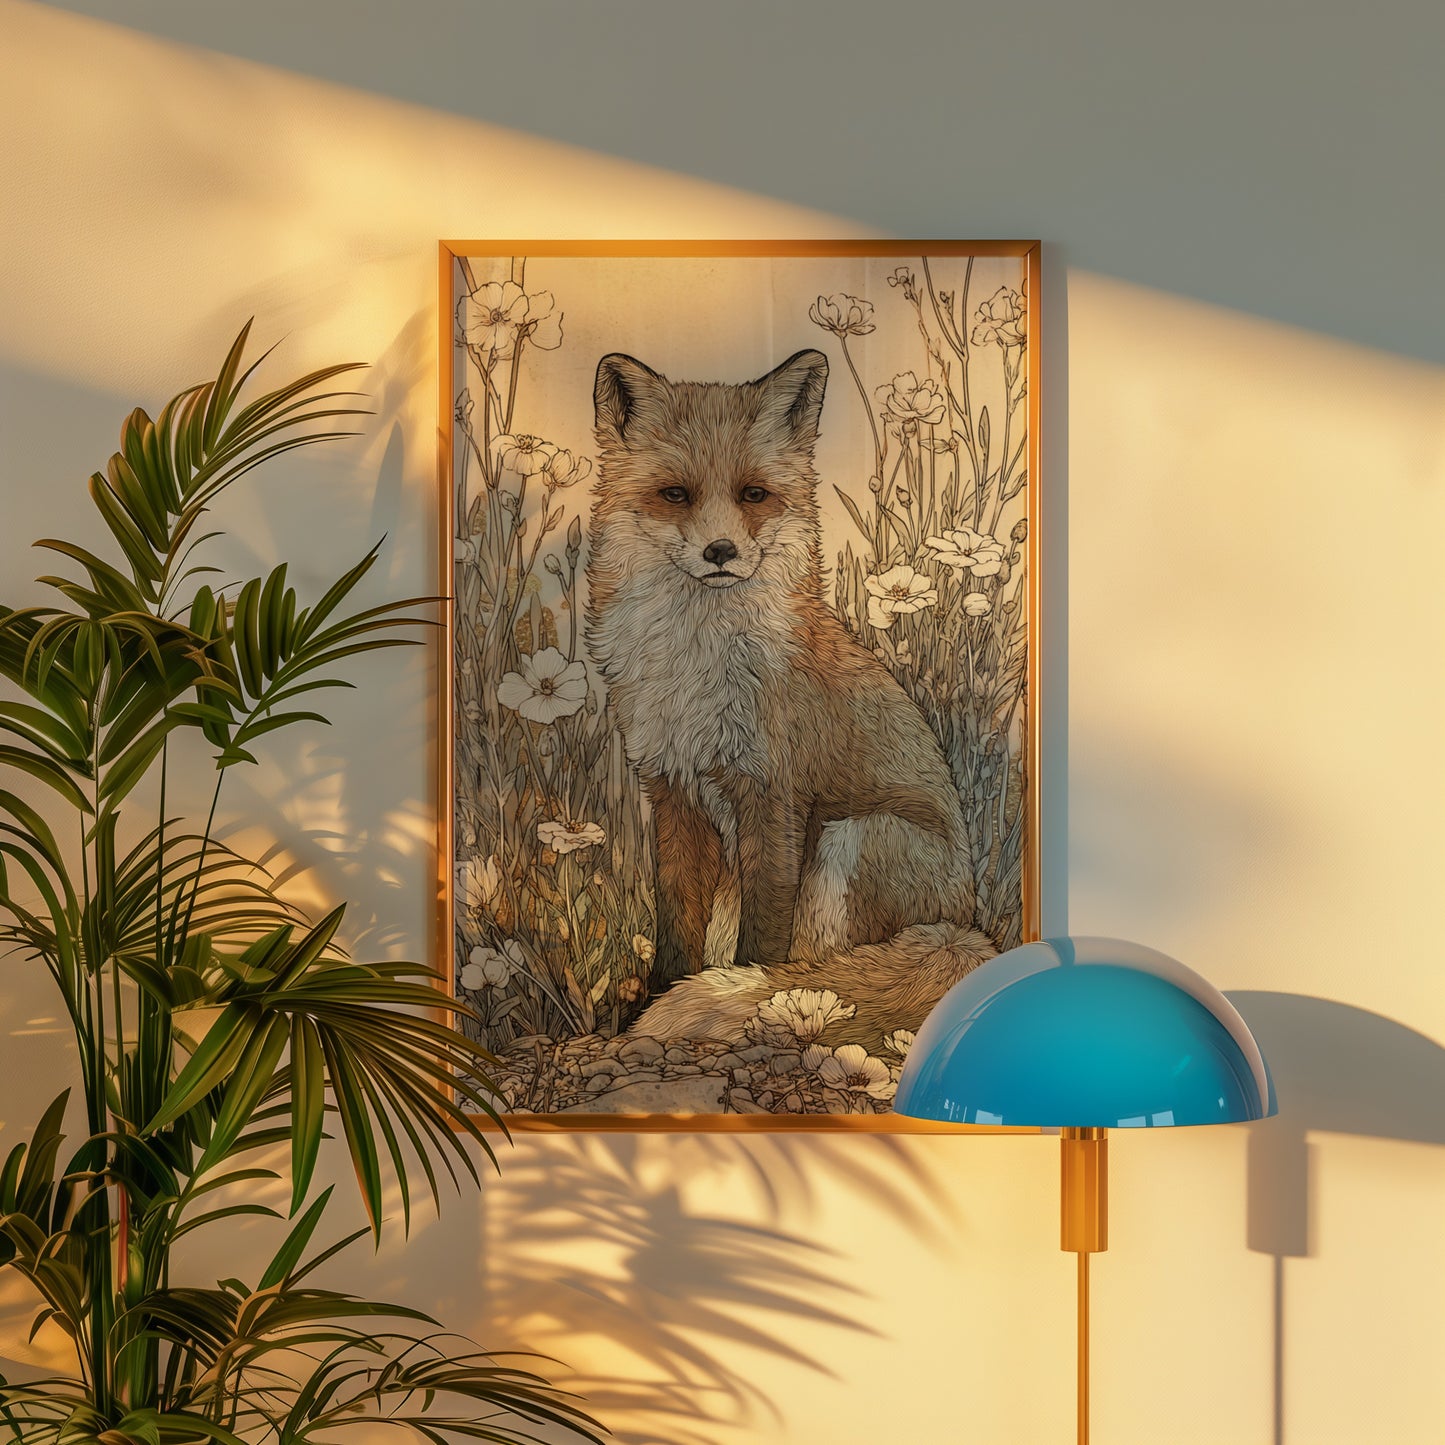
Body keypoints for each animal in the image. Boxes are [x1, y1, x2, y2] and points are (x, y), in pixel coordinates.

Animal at [584, 348, 994, 1038]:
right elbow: (676, 925)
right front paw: (655, 1002)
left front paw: (747, 1000)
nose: (720, 551)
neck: (697, 666)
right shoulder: (672, 790)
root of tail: (963, 926)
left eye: (753, 494)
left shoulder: (773, 793)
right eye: (675, 494)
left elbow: (765, 939)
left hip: (848, 838)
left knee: (827, 965)